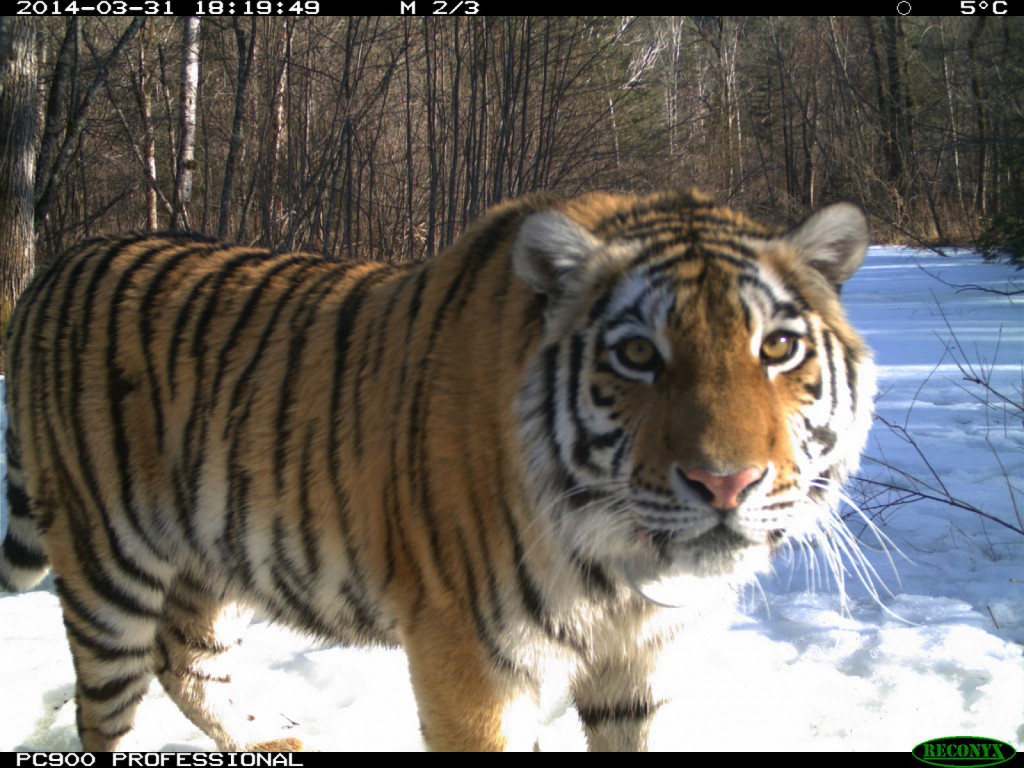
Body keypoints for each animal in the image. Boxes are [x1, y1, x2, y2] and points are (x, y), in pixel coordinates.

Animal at [0, 189, 876, 753]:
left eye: (777, 348)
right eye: (637, 354)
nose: (726, 484)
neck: (624, 569)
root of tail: (56, 266)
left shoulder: (642, 656)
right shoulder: (471, 655)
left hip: (209, 558)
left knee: (184, 657)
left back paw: (270, 737)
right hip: (108, 564)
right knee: (107, 707)